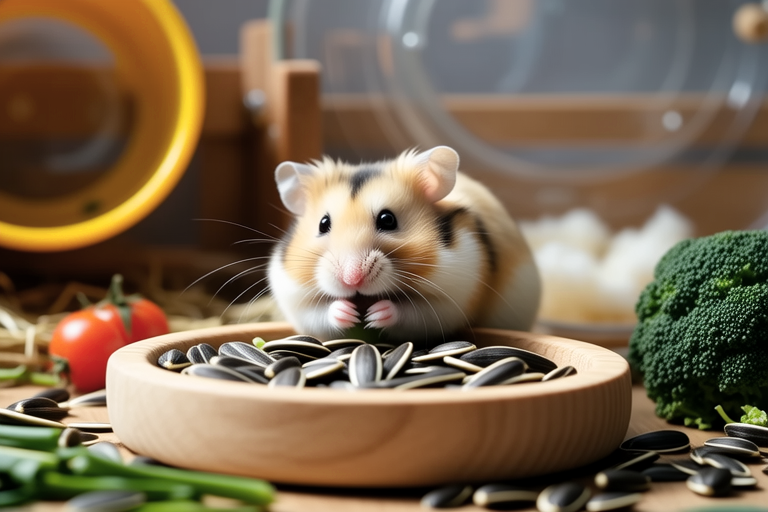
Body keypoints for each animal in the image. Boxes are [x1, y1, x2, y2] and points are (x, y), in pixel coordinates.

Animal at [267, 146, 540, 344]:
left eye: (388, 220)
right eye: (323, 224)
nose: (352, 280)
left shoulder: (453, 297)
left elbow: (415, 314)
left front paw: (377, 314)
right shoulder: (293, 295)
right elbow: (318, 313)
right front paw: (347, 312)